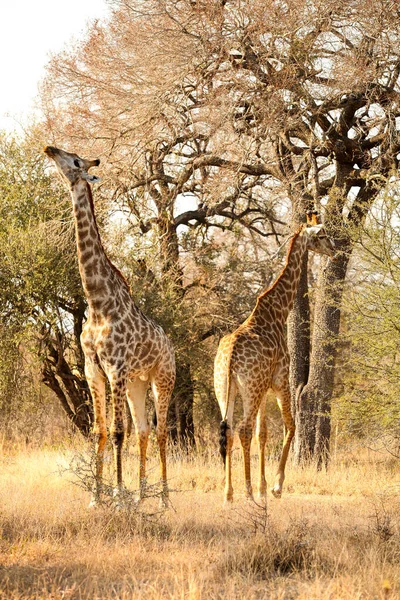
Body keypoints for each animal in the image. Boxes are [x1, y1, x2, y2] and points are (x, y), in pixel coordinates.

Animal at [43, 145, 175, 506]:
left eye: (75, 161)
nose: (49, 148)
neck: (97, 301)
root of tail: (171, 345)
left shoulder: (115, 367)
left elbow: (117, 432)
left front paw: (116, 496)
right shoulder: (92, 369)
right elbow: (99, 431)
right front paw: (96, 498)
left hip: (162, 378)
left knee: (160, 431)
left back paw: (164, 499)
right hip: (136, 384)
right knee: (143, 430)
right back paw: (142, 495)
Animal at [214, 213, 336, 504]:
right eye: (323, 234)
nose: (335, 250)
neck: (279, 310)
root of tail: (231, 356)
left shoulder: (265, 389)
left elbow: (263, 434)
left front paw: (263, 486)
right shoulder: (280, 380)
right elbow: (290, 426)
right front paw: (275, 486)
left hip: (226, 388)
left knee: (229, 430)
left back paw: (229, 493)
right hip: (251, 388)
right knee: (243, 429)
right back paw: (247, 493)